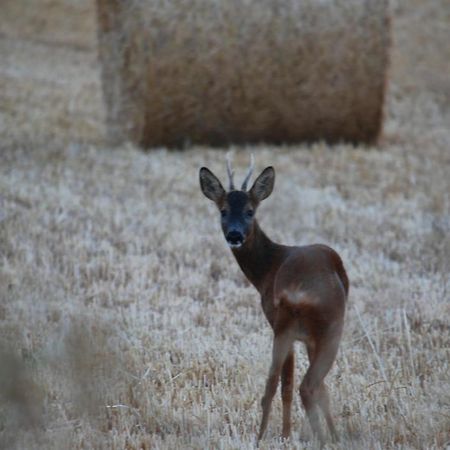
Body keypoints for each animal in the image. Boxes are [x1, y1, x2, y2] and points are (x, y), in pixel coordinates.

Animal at [199, 156, 350, 444]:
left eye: (250, 211)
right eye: (223, 211)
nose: (234, 235)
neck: (268, 268)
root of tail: (300, 292)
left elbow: (285, 384)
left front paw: (286, 435)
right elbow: (312, 388)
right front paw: (327, 435)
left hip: (293, 327)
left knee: (284, 384)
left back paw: (264, 438)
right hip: (324, 329)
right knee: (310, 385)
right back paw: (325, 439)